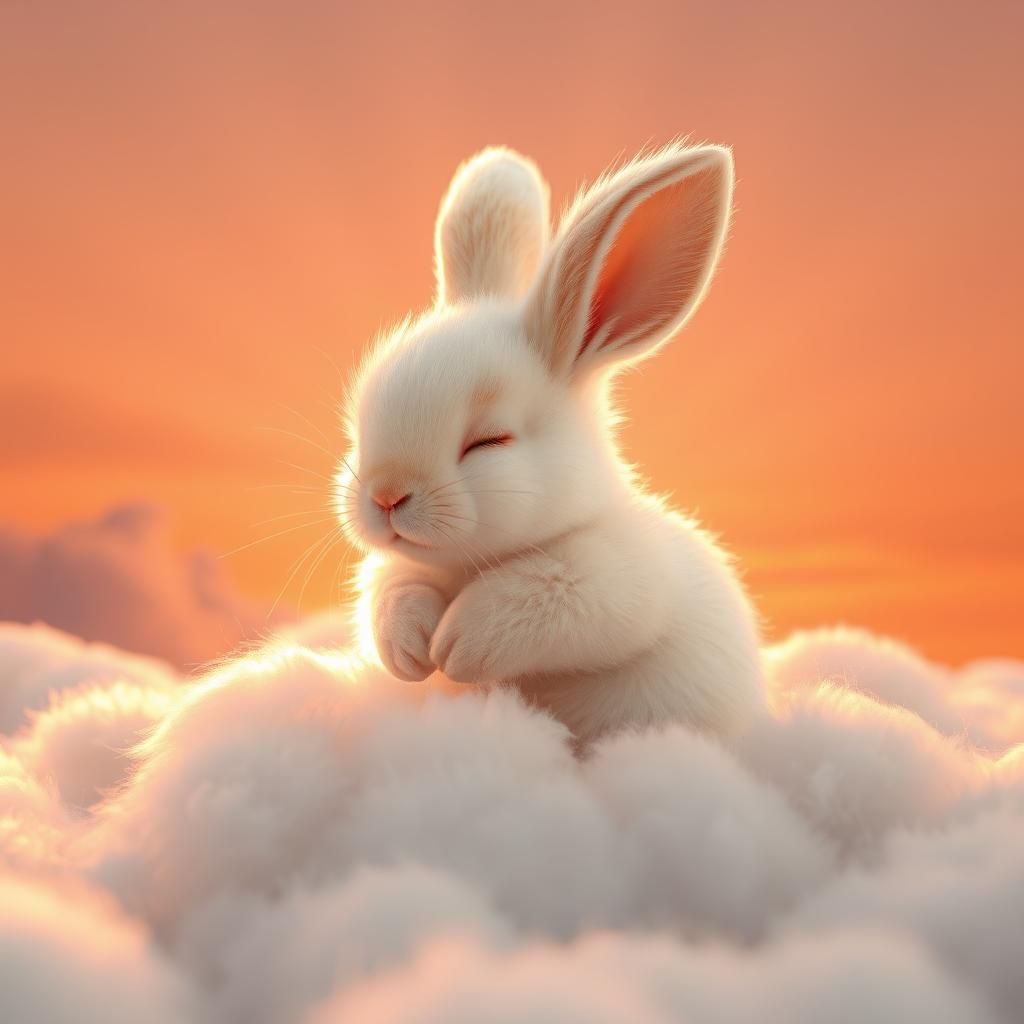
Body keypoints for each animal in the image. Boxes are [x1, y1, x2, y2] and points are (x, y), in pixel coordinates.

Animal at [335, 142, 765, 745]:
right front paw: (411, 650)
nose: (386, 496)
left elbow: (553, 598)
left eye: (489, 441)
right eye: (357, 432)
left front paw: (456, 644)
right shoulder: (395, 572)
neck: (471, 564)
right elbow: (389, 589)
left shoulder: (618, 577)